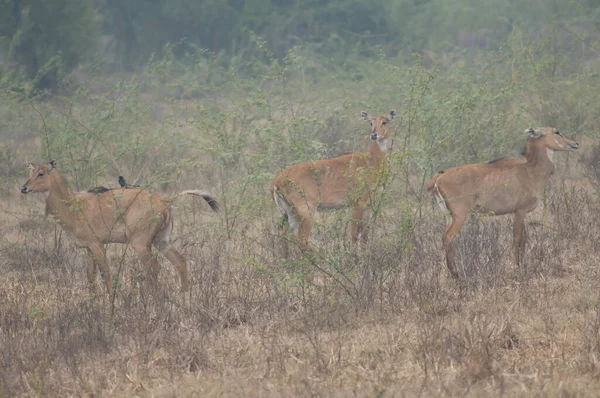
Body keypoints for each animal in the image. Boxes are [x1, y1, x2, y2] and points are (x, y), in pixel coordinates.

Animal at [20, 160, 220, 294]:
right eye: (31, 172)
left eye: (41, 173)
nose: (24, 188)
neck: (72, 205)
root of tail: (164, 200)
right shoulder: (89, 248)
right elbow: (90, 275)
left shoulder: (97, 245)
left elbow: (106, 273)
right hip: (162, 241)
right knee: (180, 261)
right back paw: (183, 293)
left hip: (140, 243)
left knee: (154, 267)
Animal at [270, 109, 394, 246]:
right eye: (371, 123)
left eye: (384, 122)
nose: (374, 135)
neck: (371, 160)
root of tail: (277, 181)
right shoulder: (358, 203)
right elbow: (354, 236)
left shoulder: (367, 207)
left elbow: (365, 237)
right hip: (306, 210)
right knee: (301, 240)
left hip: (288, 212)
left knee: (284, 237)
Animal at [426, 127, 576, 276]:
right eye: (556, 132)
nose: (575, 144)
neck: (530, 170)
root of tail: (439, 177)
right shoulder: (520, 211)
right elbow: (517, 239)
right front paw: (517, 267)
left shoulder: (520, 212)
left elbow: (524, 239)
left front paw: (523, 265)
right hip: (460, 215)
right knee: (447, 237)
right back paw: (456, 273)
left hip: (447, 215)